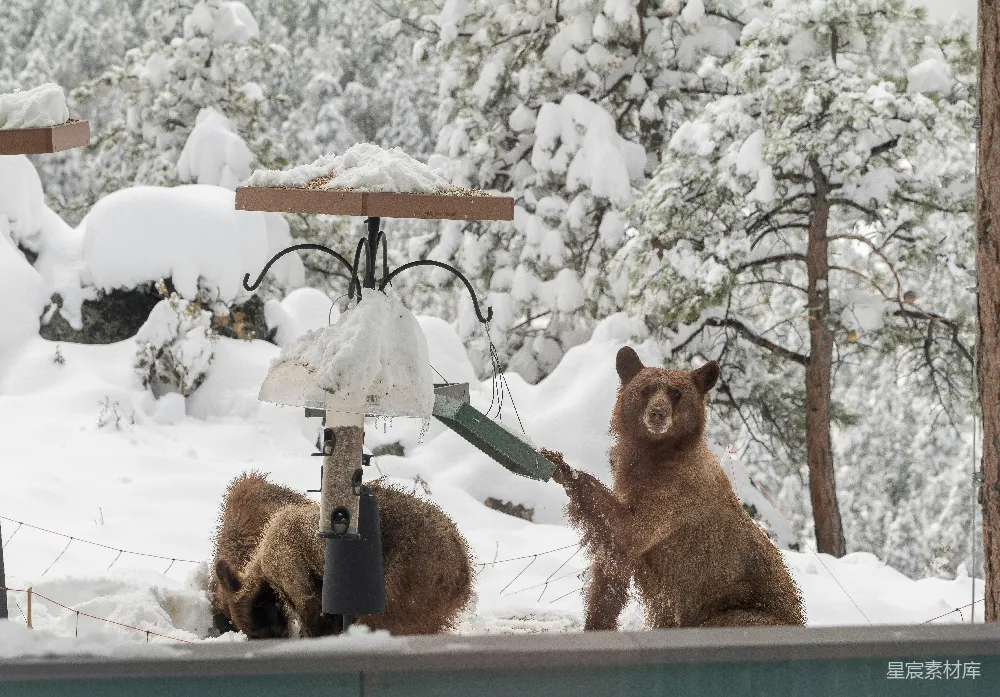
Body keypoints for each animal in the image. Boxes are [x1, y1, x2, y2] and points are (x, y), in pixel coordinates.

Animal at [541, 346, 805, 630]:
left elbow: (629, 529)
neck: (657, 455)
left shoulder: (677, 494)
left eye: (676, 392)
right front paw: (596, 622)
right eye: (646, 389)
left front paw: (562, 466)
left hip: (741, 609)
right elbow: (609, 575)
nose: (658, 413)